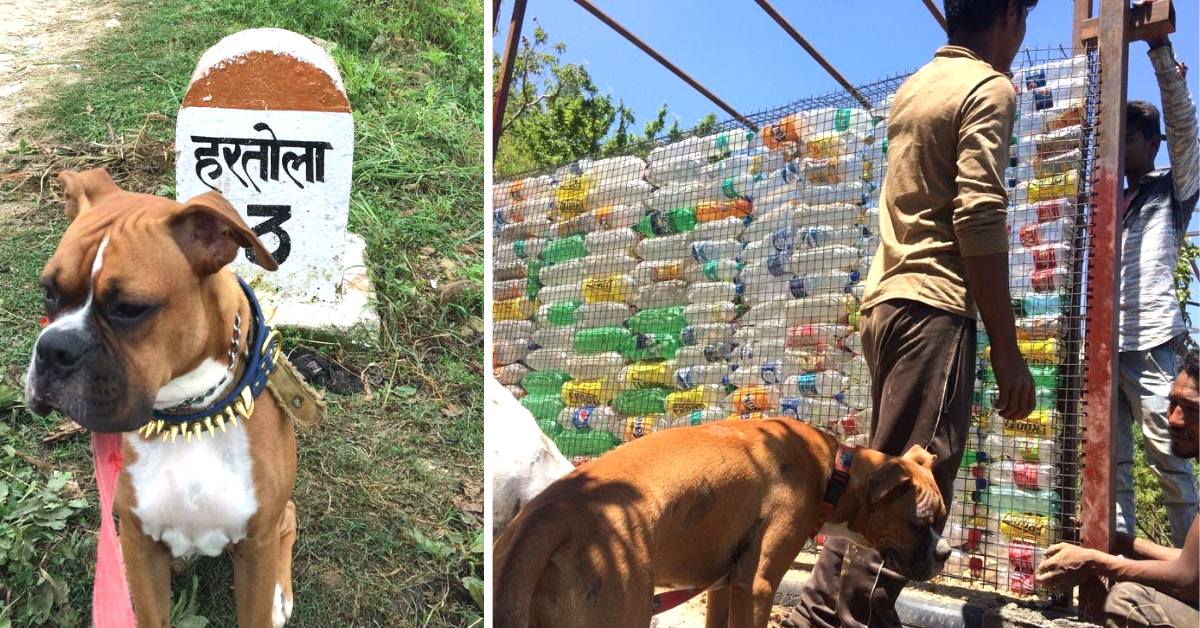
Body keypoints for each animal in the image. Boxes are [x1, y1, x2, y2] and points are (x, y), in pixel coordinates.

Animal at [24, 169, 298, 624]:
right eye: (49, 291)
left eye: (130, 309)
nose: (54, 349)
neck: (189, 417)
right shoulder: (138, 544)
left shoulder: (255, 544)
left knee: (288, 520)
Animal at [492, 417, 950, 628]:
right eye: (918, 524)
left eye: (943, 520)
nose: (946, 552)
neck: (835, 473)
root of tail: (552, 514)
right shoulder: (757, 585)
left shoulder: (724, 586)